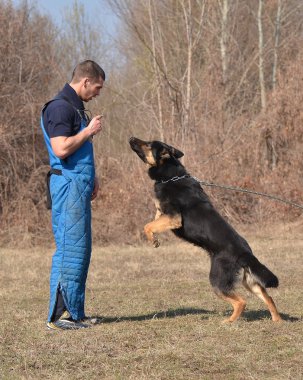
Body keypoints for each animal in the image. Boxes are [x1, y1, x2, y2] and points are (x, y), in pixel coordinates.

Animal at [129, 136, 282, 320]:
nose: (131, 138)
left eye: (148, 144)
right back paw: (277, 321)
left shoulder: (174, 218)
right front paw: (155, 238)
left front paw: (152, 239)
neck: (171, 176)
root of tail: (246, 253)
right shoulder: (162, 214)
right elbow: (153, 223)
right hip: (249, 282)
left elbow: (147, 225)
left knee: (241, 302)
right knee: (268, 297)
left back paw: (229, 322)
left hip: (217, 279)